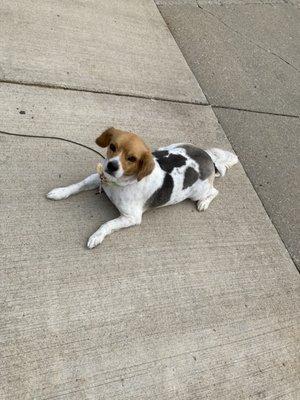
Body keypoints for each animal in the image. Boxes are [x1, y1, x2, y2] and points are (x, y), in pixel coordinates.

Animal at [47, 128, 239, 248]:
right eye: (112, 147)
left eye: (132, 158)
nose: (111, 166)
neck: (119, 184)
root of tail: (209, 158)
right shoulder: (99, 178)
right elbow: (77, 185)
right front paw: (60, 192)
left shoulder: (131, 217)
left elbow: (107, 224)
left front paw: (96, 236)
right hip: (169, 147)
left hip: (198, 192)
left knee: (214, 192)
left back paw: (204, 203)